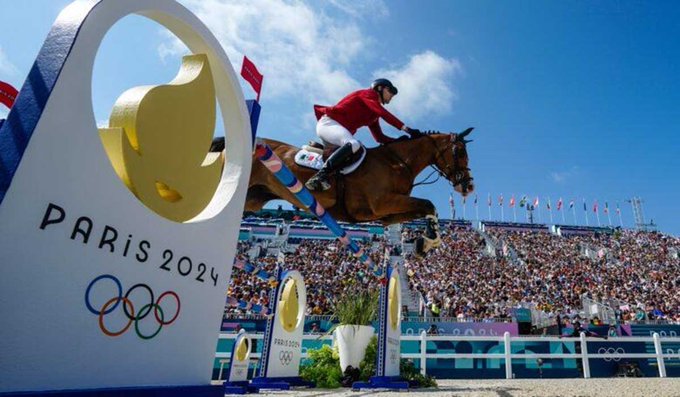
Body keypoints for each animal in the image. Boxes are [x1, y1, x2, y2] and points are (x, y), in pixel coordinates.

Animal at [243, 129, 472, 251]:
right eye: (460, 152)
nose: (469, 186)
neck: (397, 162)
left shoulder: (386, 214)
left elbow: (423, 209)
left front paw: (425, 242)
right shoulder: (382, 204)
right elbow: (428, 204)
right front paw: (431, 239)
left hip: (253, 198)